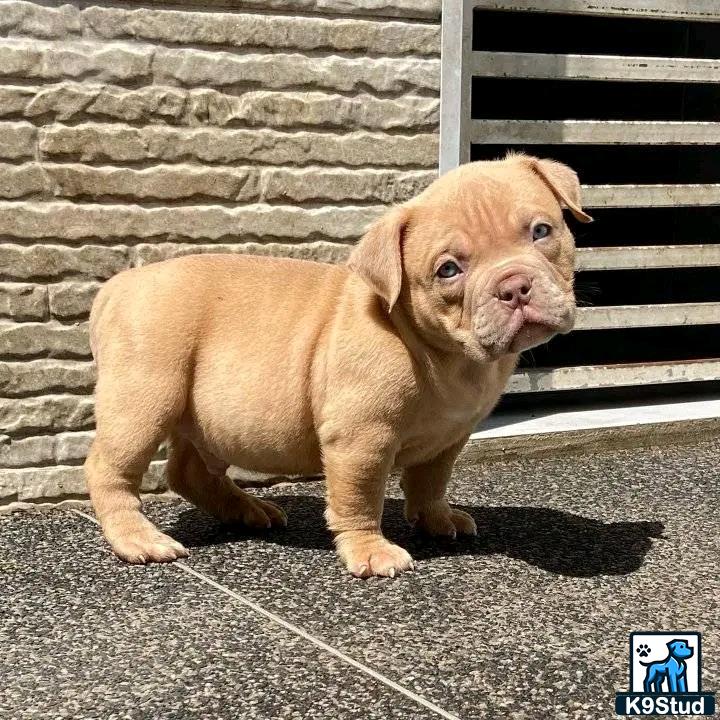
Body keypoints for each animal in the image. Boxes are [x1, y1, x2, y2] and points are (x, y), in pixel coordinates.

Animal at [84, 155, 592, 576]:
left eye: (542, 232)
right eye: (448, 270)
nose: (515, 287)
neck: (447, 355)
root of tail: (117, 286)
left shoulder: (449, 436)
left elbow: (431, 480)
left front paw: (436, 517)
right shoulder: (361, 437)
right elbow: (360, 496)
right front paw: (370, 550)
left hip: (206, 418)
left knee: (190, 471)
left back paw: (246, 511)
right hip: (144, 398)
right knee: (109, 469)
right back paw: (138, 539)